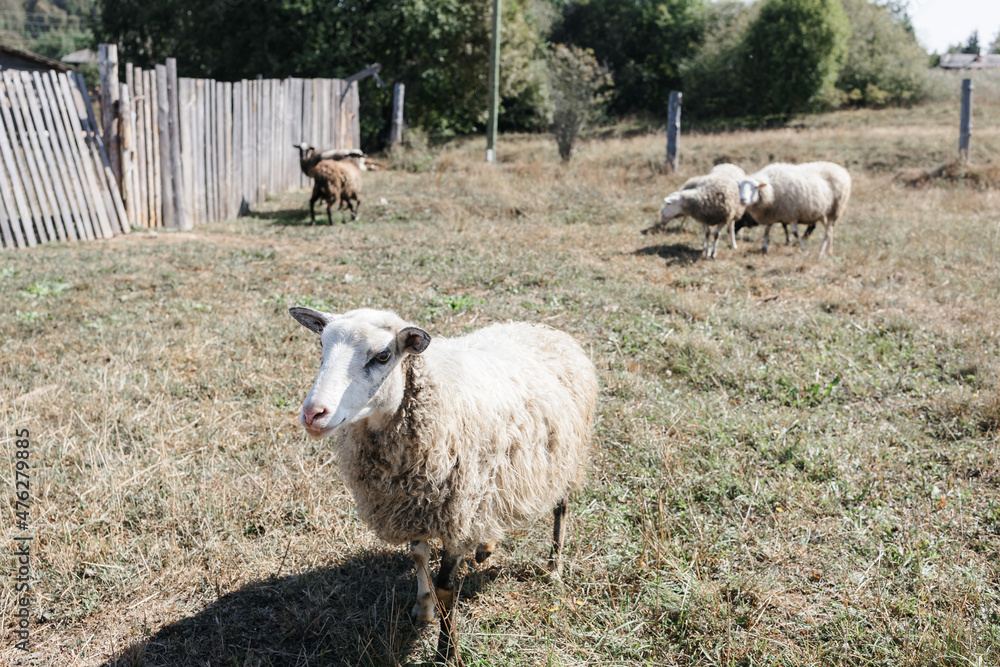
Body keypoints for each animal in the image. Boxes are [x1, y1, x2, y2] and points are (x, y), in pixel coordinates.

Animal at [288, 307, 598, 662]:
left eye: (382, 356)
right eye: (321, 346)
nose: (313, 414)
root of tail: (547, 330)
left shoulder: (453, 513)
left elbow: (446, 587)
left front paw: (446, 651)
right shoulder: (413, 505)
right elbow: (419, 557)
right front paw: (424, 609)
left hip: (563, 458)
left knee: (561, 508)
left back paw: (554, 567)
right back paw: (486, 546)